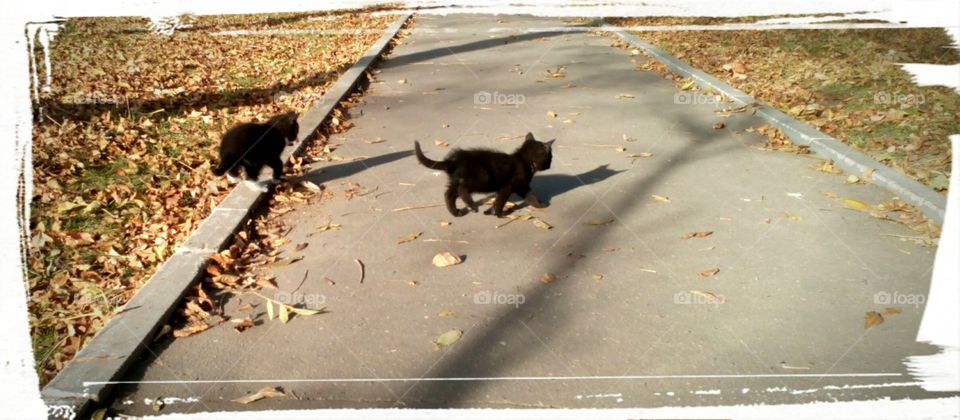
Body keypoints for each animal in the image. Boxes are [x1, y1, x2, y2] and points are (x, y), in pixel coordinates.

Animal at [414, 132, 556, 218]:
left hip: (456, 180)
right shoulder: (509, 185)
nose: (550, 165)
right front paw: (499, 214)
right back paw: (472, 206)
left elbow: (528, 196)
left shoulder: (519, 186)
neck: (523, 160)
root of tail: (455, 160)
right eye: (550, 157)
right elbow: (502, 200)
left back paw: (455, 212)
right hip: (482, 178)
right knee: (462, 190)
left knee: (449, 194)